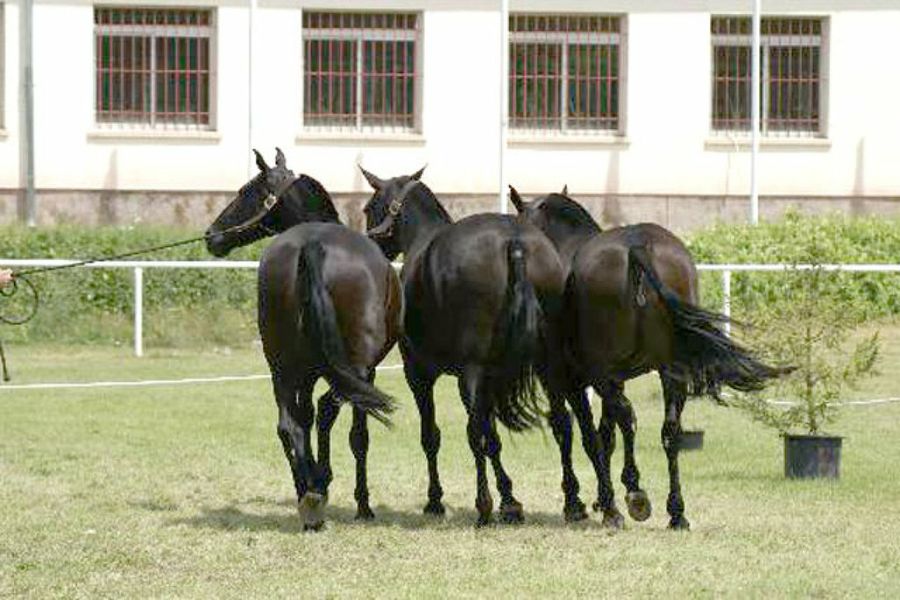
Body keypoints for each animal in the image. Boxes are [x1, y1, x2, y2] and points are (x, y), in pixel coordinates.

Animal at [205, 149, 402, 530]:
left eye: (245, 191)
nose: (211, 235)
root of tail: (313, 244)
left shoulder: (306, 373)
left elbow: (305, 416)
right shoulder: (365, 373)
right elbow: (357, 436)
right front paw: (362, 504)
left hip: (280, 365)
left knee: (289, 424)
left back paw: (308, 494)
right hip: (355, 367)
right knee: (329, 409)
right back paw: (318, 487)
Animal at [360, 167, 617, 526]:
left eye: (368, 208)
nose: (369, 245)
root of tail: (514, 243)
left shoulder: (420, 375)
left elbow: (435, 436)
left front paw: (438, 500)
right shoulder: (494, 378)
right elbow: (496, 434)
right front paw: (511, 499)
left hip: (473, 374)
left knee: (476, 433)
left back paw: (484, 504)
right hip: (550, 365)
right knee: (565, 425)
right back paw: (583, 504)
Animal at [510, 186, 785, 529]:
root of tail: (637, 247)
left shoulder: (562, 378)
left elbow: (577, 432)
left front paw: (580, 502)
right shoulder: (608, 380)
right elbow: (606, 433)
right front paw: (600, 498)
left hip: (601, 373)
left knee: (624, 419)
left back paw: (631, 497)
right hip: (669, 372)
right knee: (669, 431)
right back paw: (675, 512)